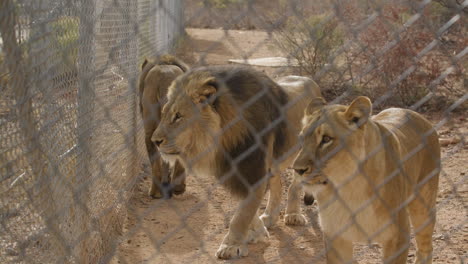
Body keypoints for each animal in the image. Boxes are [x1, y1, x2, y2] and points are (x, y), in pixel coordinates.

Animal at [154, 67, 322, 258]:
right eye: (164, 114)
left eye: (178, 116)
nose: (155, 141)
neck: (224, 140)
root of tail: (311, 81)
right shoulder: (236, 172)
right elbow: (248, 208)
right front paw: (257, 232)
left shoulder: (254, 171)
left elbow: (242, 214)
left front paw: (231, 245)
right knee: (277, 184)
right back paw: (270, 216)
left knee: (295, 184)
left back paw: (293, 214)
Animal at [292, 97, 438, 264]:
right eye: (301, 139)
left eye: (326, 139)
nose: (297, 169)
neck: (350, 188)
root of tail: (417, 115)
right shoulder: (336, 237)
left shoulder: (398, 237)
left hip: (423, 207)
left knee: (425, 247)